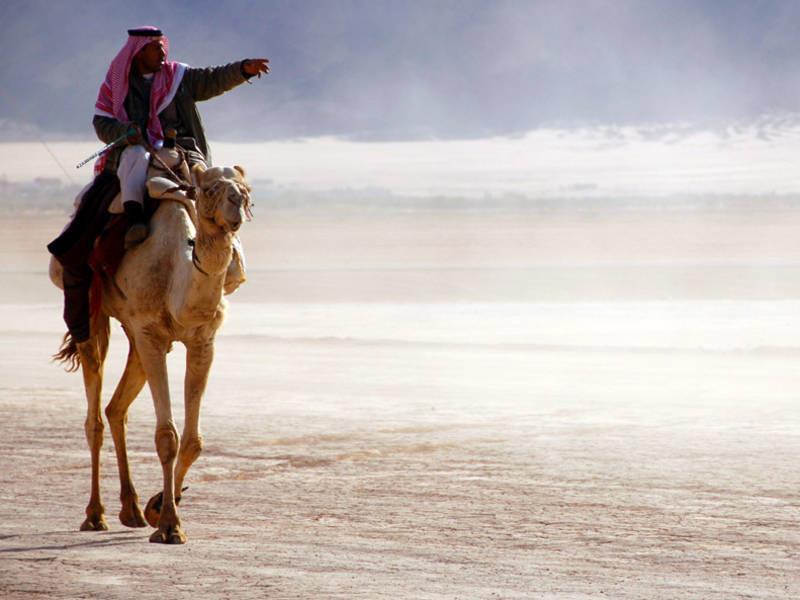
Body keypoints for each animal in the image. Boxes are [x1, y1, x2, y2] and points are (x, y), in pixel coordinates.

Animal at [50, 163, 250, 544]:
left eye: (245, 188)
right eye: (210, 189)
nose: (238, 204)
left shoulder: (202, 341)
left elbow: (193, 440)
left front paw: (158, 506)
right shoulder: (150, 335)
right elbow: (167, 436)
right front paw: (170, 525)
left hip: (135, 336)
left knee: (116, 409)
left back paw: (131, 509)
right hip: (93, 313)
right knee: (95, 413)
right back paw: (95, 515)